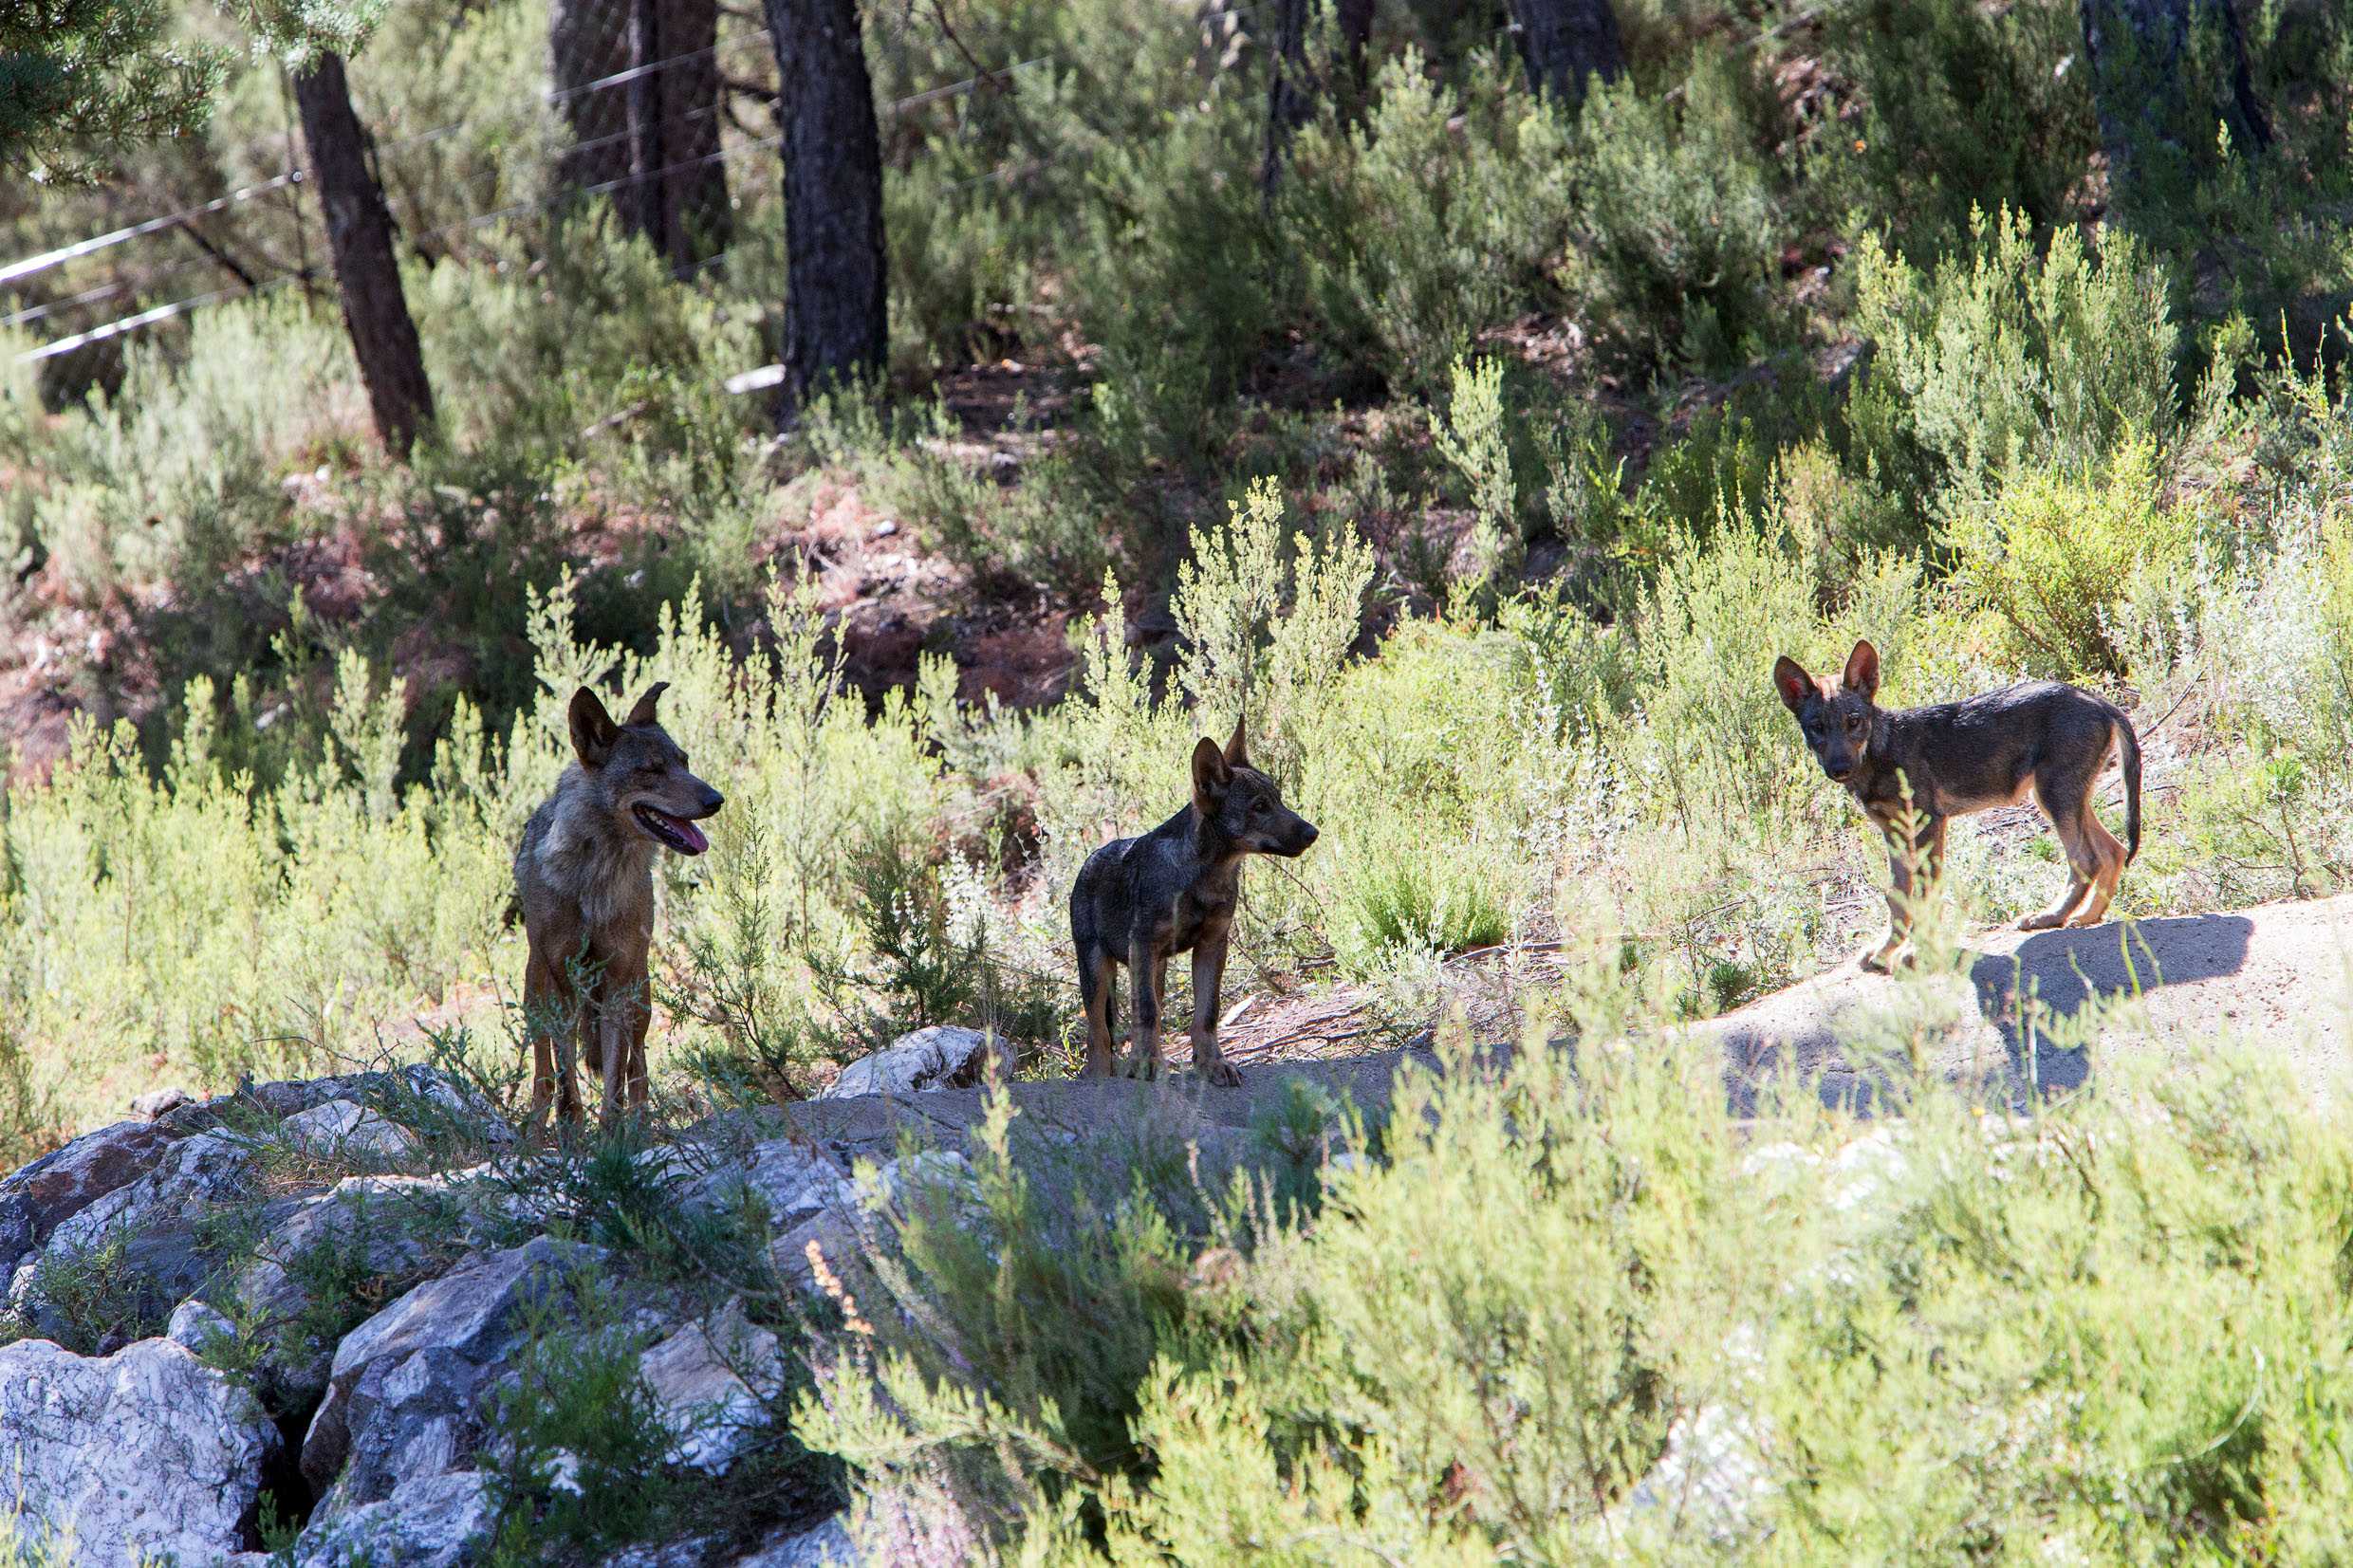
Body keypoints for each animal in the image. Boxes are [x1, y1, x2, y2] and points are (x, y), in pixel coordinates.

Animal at [517, 681, 719, 1133]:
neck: (597, 879)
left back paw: (640, 1129)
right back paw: (536, 1137)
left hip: (639, 994)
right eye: (651, 770)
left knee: (637, 1072)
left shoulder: (616, 989)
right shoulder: (563, 988)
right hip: (537, 996)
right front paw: (572, 1139)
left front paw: (613, 1141)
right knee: (543, 1078)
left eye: (684, 763)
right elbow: (567, 1089)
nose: (717, 799)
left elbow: (614, 1087)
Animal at [1072, 719, 1317, 1081]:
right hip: (1098, 971)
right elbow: (1146, 1012)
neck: (1203, 877)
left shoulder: (1212, 944)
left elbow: (1206, 1013)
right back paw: (1102, 1077)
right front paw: (1147, 1064)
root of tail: (1088, 861)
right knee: (1099, 1034)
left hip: (1153, 969)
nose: (1313, 833)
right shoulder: (1143, 943)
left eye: (1280, 800)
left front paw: (1212, 1063)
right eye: (1259, 807)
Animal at [1769, 639, 2145, 968]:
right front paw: (1887, 949)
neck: (1881, 754)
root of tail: (2099, 700)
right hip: (2060, 797)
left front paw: (1917, 953)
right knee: (2112, 850)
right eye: (1816, 728)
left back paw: (2050, 916)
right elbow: (1898, 896)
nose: (1839, 769)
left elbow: (1927, 895)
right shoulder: (1895, 833)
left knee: (2085, 858)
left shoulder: (1928, 824)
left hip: (2054, 797)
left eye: (1853, 722)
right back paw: (2086, 916)